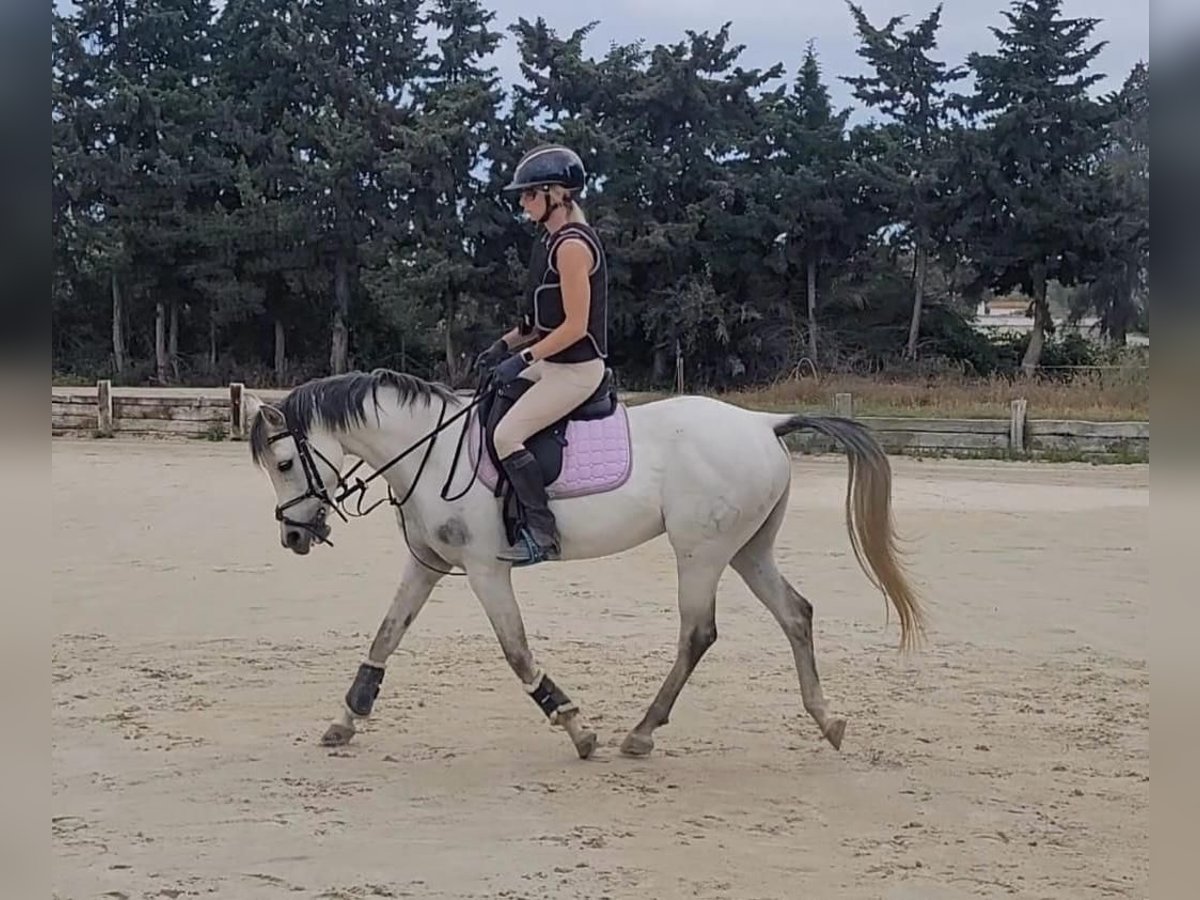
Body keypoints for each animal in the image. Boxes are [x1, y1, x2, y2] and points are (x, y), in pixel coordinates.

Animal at [243, 367, 924, 760]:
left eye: (284, 464)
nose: (294, 537)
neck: (429, 452)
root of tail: (764, 423)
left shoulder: (486, 570)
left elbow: (517, 653)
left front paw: (575, 727)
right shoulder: (430, 564)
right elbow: (385, 636)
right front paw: (346, 720)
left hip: (700, 552)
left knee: (698, 633)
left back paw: (641, 732)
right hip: (746, 551)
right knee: (795, 614)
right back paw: (827, 721)